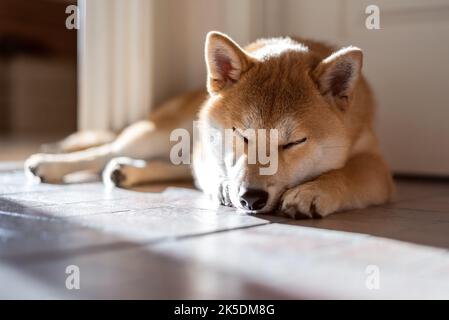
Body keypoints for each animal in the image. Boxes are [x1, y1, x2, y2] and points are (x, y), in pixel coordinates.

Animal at [24, 31, 392, 218]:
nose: (251, 198)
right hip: (154, 134)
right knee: (103, 150)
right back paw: (49, 163)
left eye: (293, 143)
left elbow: (348, 173)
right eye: (241, 135)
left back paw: (126, 170)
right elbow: (215, 170)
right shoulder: (207, 145)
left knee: (170, 167)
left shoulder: (375, 163)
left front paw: (314, 191)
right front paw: (225, 186)